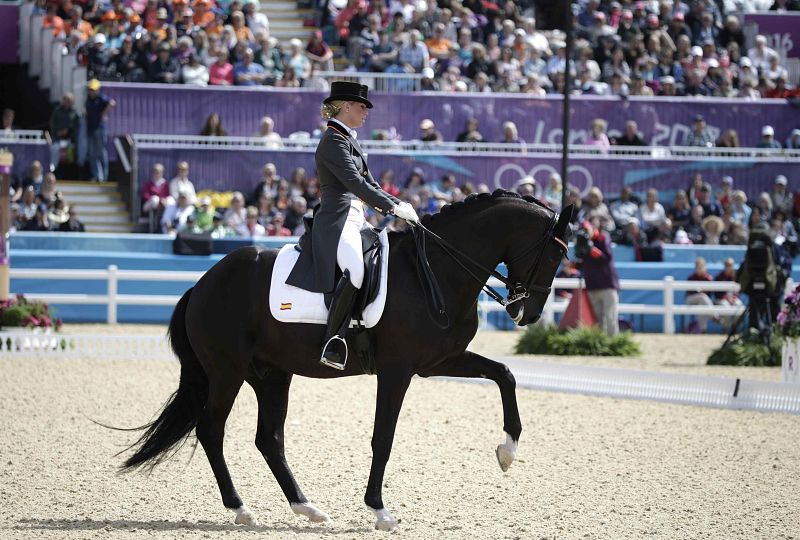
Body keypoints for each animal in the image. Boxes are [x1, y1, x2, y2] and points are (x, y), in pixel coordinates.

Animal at [120, 190, 572, 532]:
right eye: (553, 256)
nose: (529, 314)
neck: (435, 271)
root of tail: (203, 283)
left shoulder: (440, 361)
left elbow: (504, 373)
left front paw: (507, 451)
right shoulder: (396, 371)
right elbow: (382, 438)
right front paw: (380, 510)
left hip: (271, 374)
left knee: (269, 439)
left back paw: (306, 507)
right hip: (226, 371)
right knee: (212, 430)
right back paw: (241, 508)